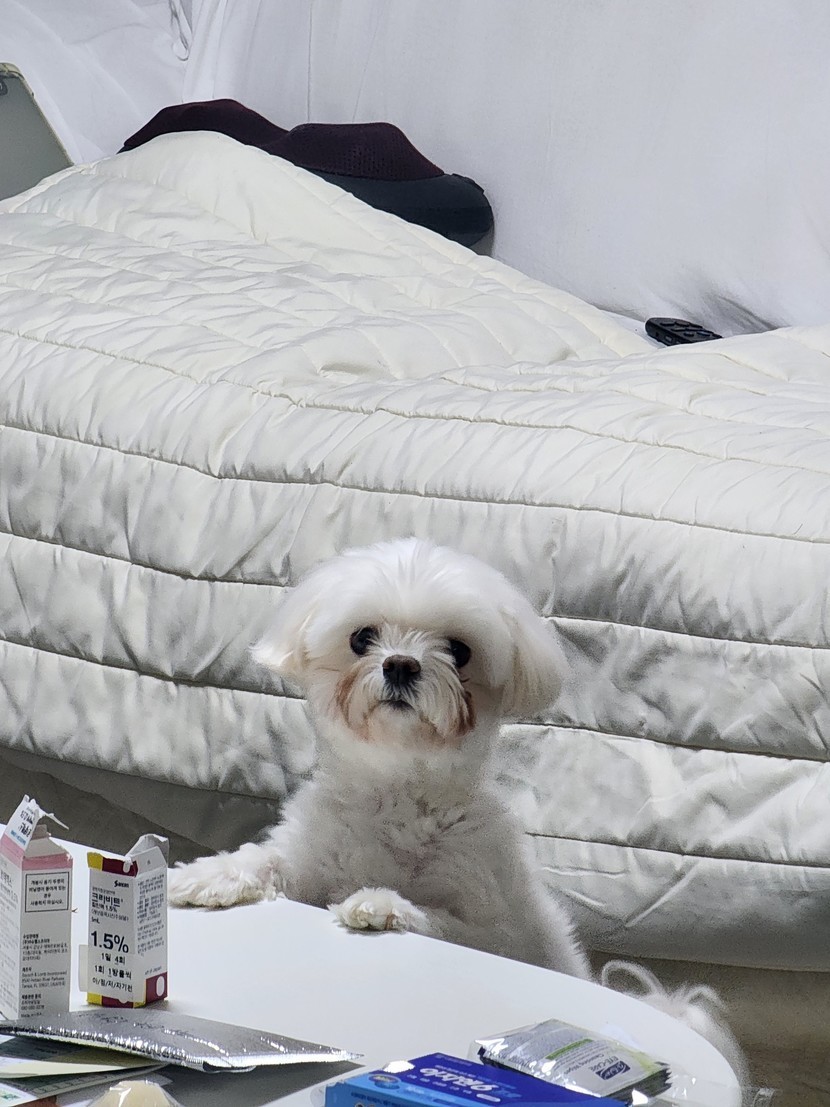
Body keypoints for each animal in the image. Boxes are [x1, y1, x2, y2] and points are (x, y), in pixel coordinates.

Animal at [168, 537, 747, 1087]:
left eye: (459, 651)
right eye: (361, 638)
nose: (401, 664)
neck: (399, 788)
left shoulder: (494, 925)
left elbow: (443, 922)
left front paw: (381, 904)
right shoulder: (312, 861)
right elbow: (264, 861)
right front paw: (200, 876)